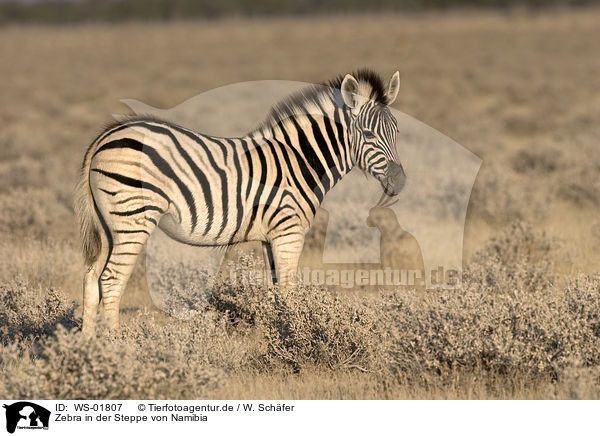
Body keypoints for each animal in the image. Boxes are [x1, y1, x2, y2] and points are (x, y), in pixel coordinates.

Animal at [74, 69, 404, 334]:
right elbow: (289, 291)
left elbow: (277, 292)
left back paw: (87, 348)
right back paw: (118, 348)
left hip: (109, 226)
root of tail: (105, 137)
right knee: (111, 281)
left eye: (397, 131)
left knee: (92, 279)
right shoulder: (289, 232)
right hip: (132, 220)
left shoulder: (272, 237)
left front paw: (281, 339)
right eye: (368, 133)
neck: (298, 160)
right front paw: (295, 338)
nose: (400, 181)